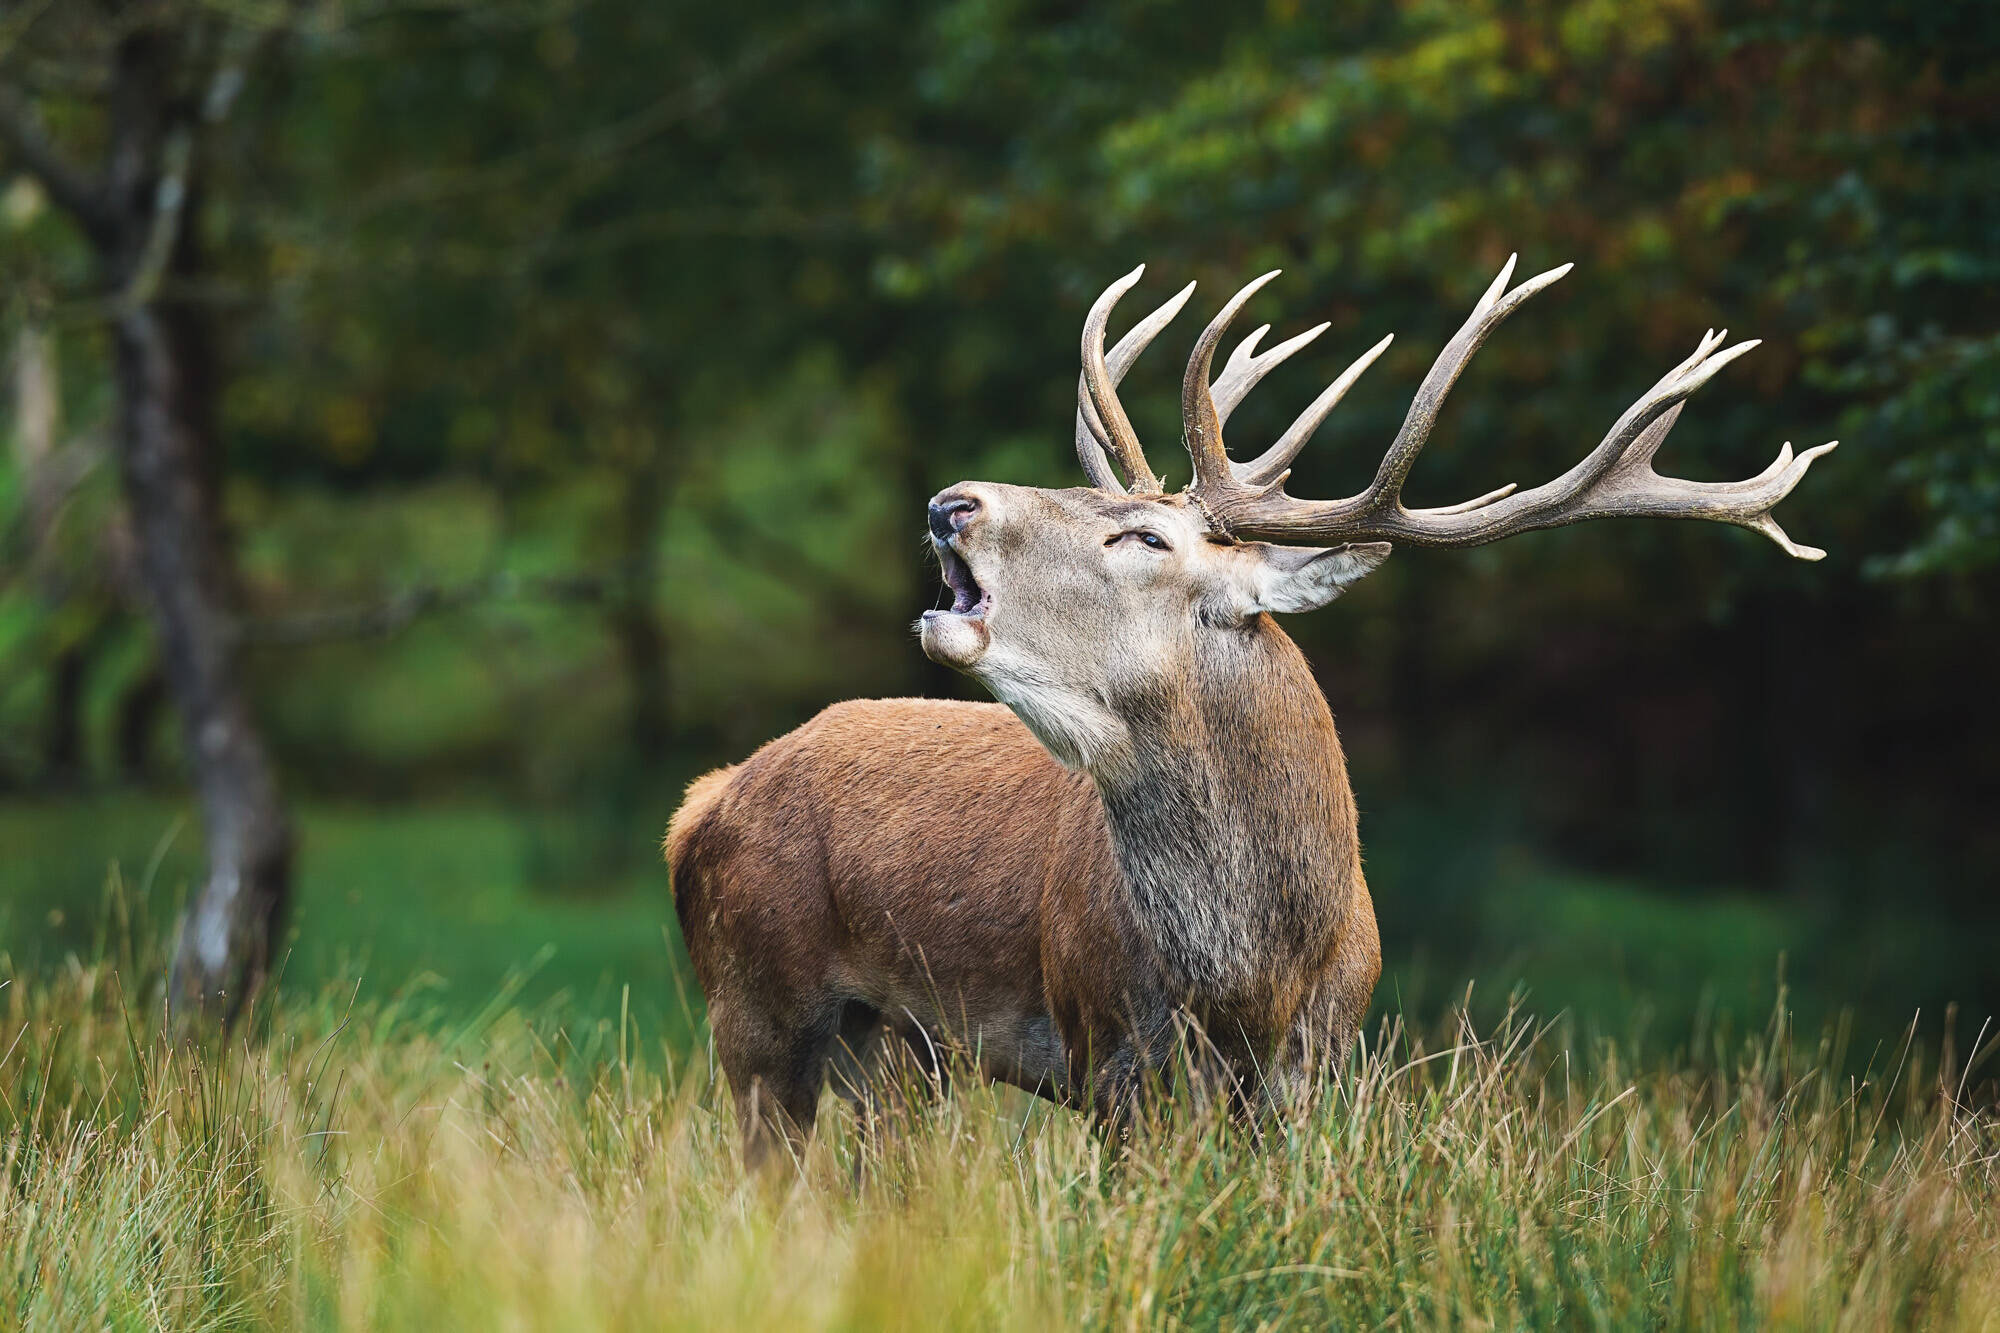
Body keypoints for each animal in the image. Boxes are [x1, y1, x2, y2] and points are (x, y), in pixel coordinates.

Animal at [665, 255, 1832, 1169]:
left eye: (1141, 534)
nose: (953, 501)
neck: (1251, 972)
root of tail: (704, 801)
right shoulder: (1109, 1049)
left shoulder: (1315, 1066)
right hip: (757, 1003)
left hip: (894, 1051)